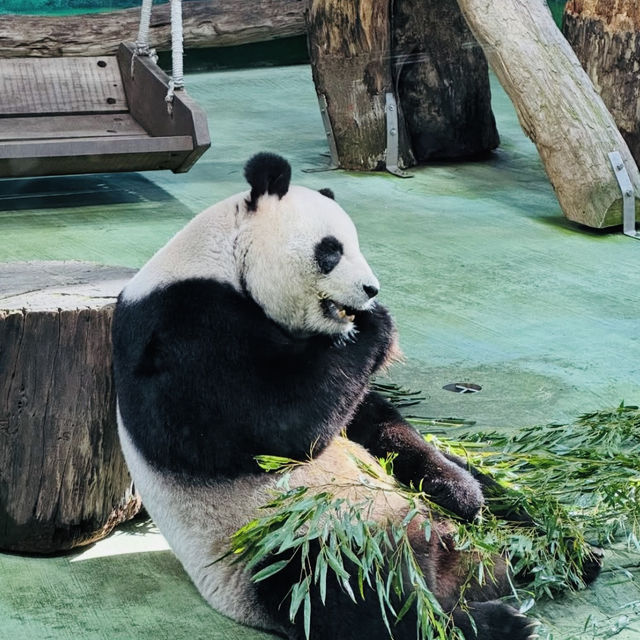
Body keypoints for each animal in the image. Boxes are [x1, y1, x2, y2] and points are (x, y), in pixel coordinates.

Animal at [114, 154, 540, 640]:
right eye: (331, 250)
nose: (371, 290)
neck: (223, 260)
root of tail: (455, 566)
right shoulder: (180, 329)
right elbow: (274, 426)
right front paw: (375, 323)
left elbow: (367, 417)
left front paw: (460, 491)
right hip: (284, 540)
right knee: (355, 594)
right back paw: (493, 620)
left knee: (509, 504)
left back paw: (553, 548)